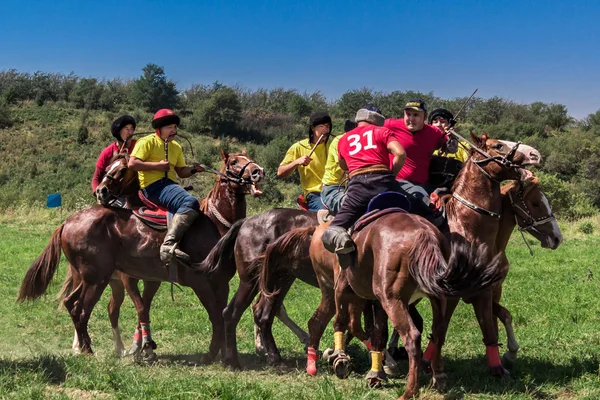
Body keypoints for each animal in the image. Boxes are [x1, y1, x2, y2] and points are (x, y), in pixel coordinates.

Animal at [17, 149, 262, 362]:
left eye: (248, 157)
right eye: (234, 162)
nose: (258, 171)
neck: (213, 224)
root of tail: (67, 222)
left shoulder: (220, 283)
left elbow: (222, 314)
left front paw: (224, 353)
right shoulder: (198, 282)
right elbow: (213, 316)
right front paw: (210, 354)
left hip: (90, 278)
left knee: (73, 303)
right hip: (96, 280)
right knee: (81, 309)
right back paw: (87, 350)